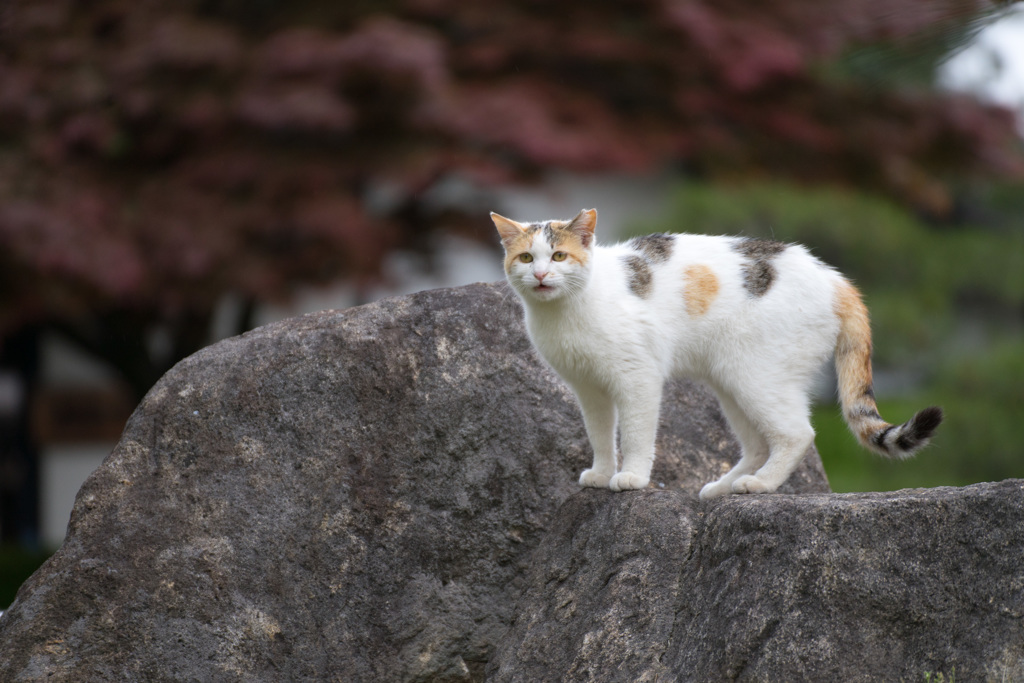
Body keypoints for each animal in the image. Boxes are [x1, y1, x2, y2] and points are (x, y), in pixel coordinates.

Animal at [491, 205, 937, 499]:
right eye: (526, 257)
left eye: (559, 256)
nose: (541, 275)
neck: (567, 312)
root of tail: (837, 281)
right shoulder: (589, 389)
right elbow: (600, 435)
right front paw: (602, 473)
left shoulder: (638, 378)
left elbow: (635, 434)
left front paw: (631, 476)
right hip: (730, 385)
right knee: (757, 444)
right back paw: (723, 488)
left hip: (757, 378)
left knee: (797, 434)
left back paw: (760, 484)